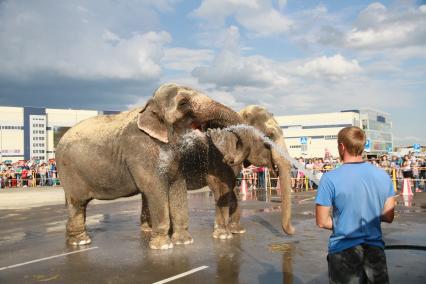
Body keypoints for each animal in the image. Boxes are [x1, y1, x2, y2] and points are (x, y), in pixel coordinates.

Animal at [56, 82, 243, 248]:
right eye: (183, 103)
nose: (230, 159)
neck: (149, 106)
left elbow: (177, 186)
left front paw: (184, 242)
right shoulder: (140, 149)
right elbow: (154, 188)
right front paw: (163, 246)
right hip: (68, 170)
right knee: (78, 203)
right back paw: (81, 242)